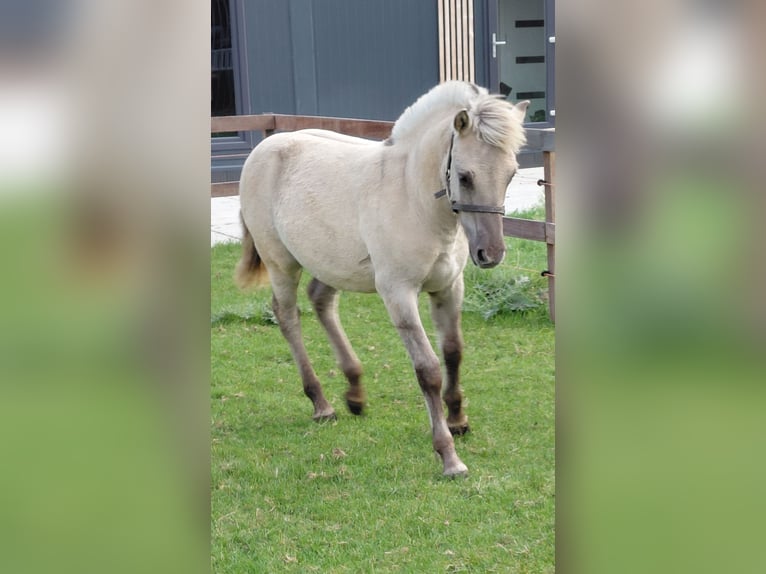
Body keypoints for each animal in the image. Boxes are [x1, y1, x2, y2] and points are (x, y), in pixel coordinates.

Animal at [236, 81, 528, 476]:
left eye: (511, 174)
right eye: (465, 176)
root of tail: (264, 148)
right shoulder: (398, 294)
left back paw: (355, 393)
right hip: (282, 265)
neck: (412, 199)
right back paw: (321, 403)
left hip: (331, 263)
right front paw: (449, 456)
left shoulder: (448, 288)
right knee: (288, 317)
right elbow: (428, 370)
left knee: (321, 301)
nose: (491, 253)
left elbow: (453, 353)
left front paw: (458, 420)